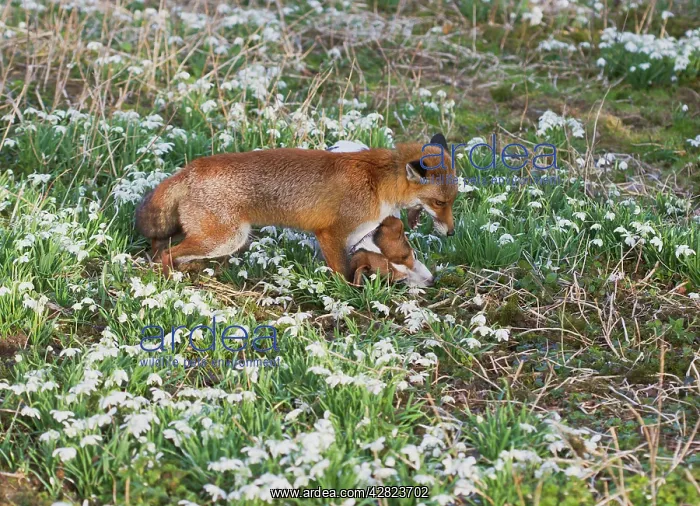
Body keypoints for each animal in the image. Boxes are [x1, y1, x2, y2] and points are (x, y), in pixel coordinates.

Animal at [134, 133, 457, 280]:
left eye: (454, 201)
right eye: (439, 202)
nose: (452, 233)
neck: (378, 184)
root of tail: (191, 168)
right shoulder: (331, 234)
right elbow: (343, 273)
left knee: (163, 248)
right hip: (226, 238)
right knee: (167, 253)